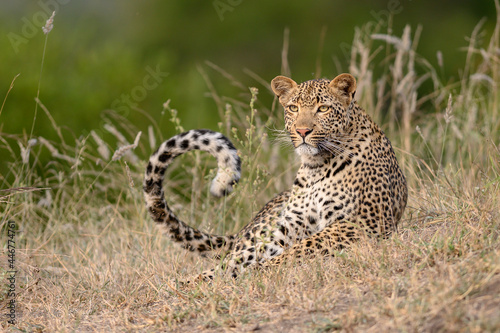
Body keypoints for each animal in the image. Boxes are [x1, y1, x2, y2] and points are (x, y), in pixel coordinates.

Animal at [143, 73, 408, 282]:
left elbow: (305, 247)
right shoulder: (289, 225)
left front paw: (263, 269)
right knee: (234, 255)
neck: (316, 167)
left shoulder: (363, 222)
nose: (303, 131)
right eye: (293, 108)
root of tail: (240, 230)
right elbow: (251, 257)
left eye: (323, 108)